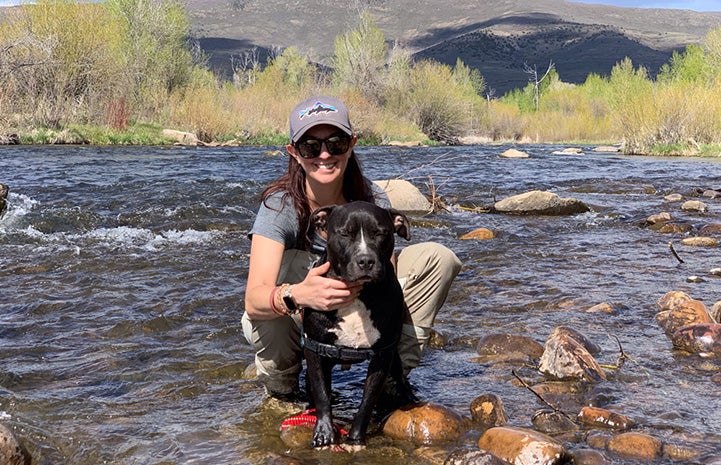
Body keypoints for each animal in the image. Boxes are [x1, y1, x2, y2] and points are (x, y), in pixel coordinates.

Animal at [304, 201, 416, 448]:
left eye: (380, 233)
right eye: (345, 233)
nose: (365, 260)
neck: (357, 294)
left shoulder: (383, 355)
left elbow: (368, 399)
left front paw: (356, 437)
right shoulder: (315, 350)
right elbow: (322, 394)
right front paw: (324, 432)